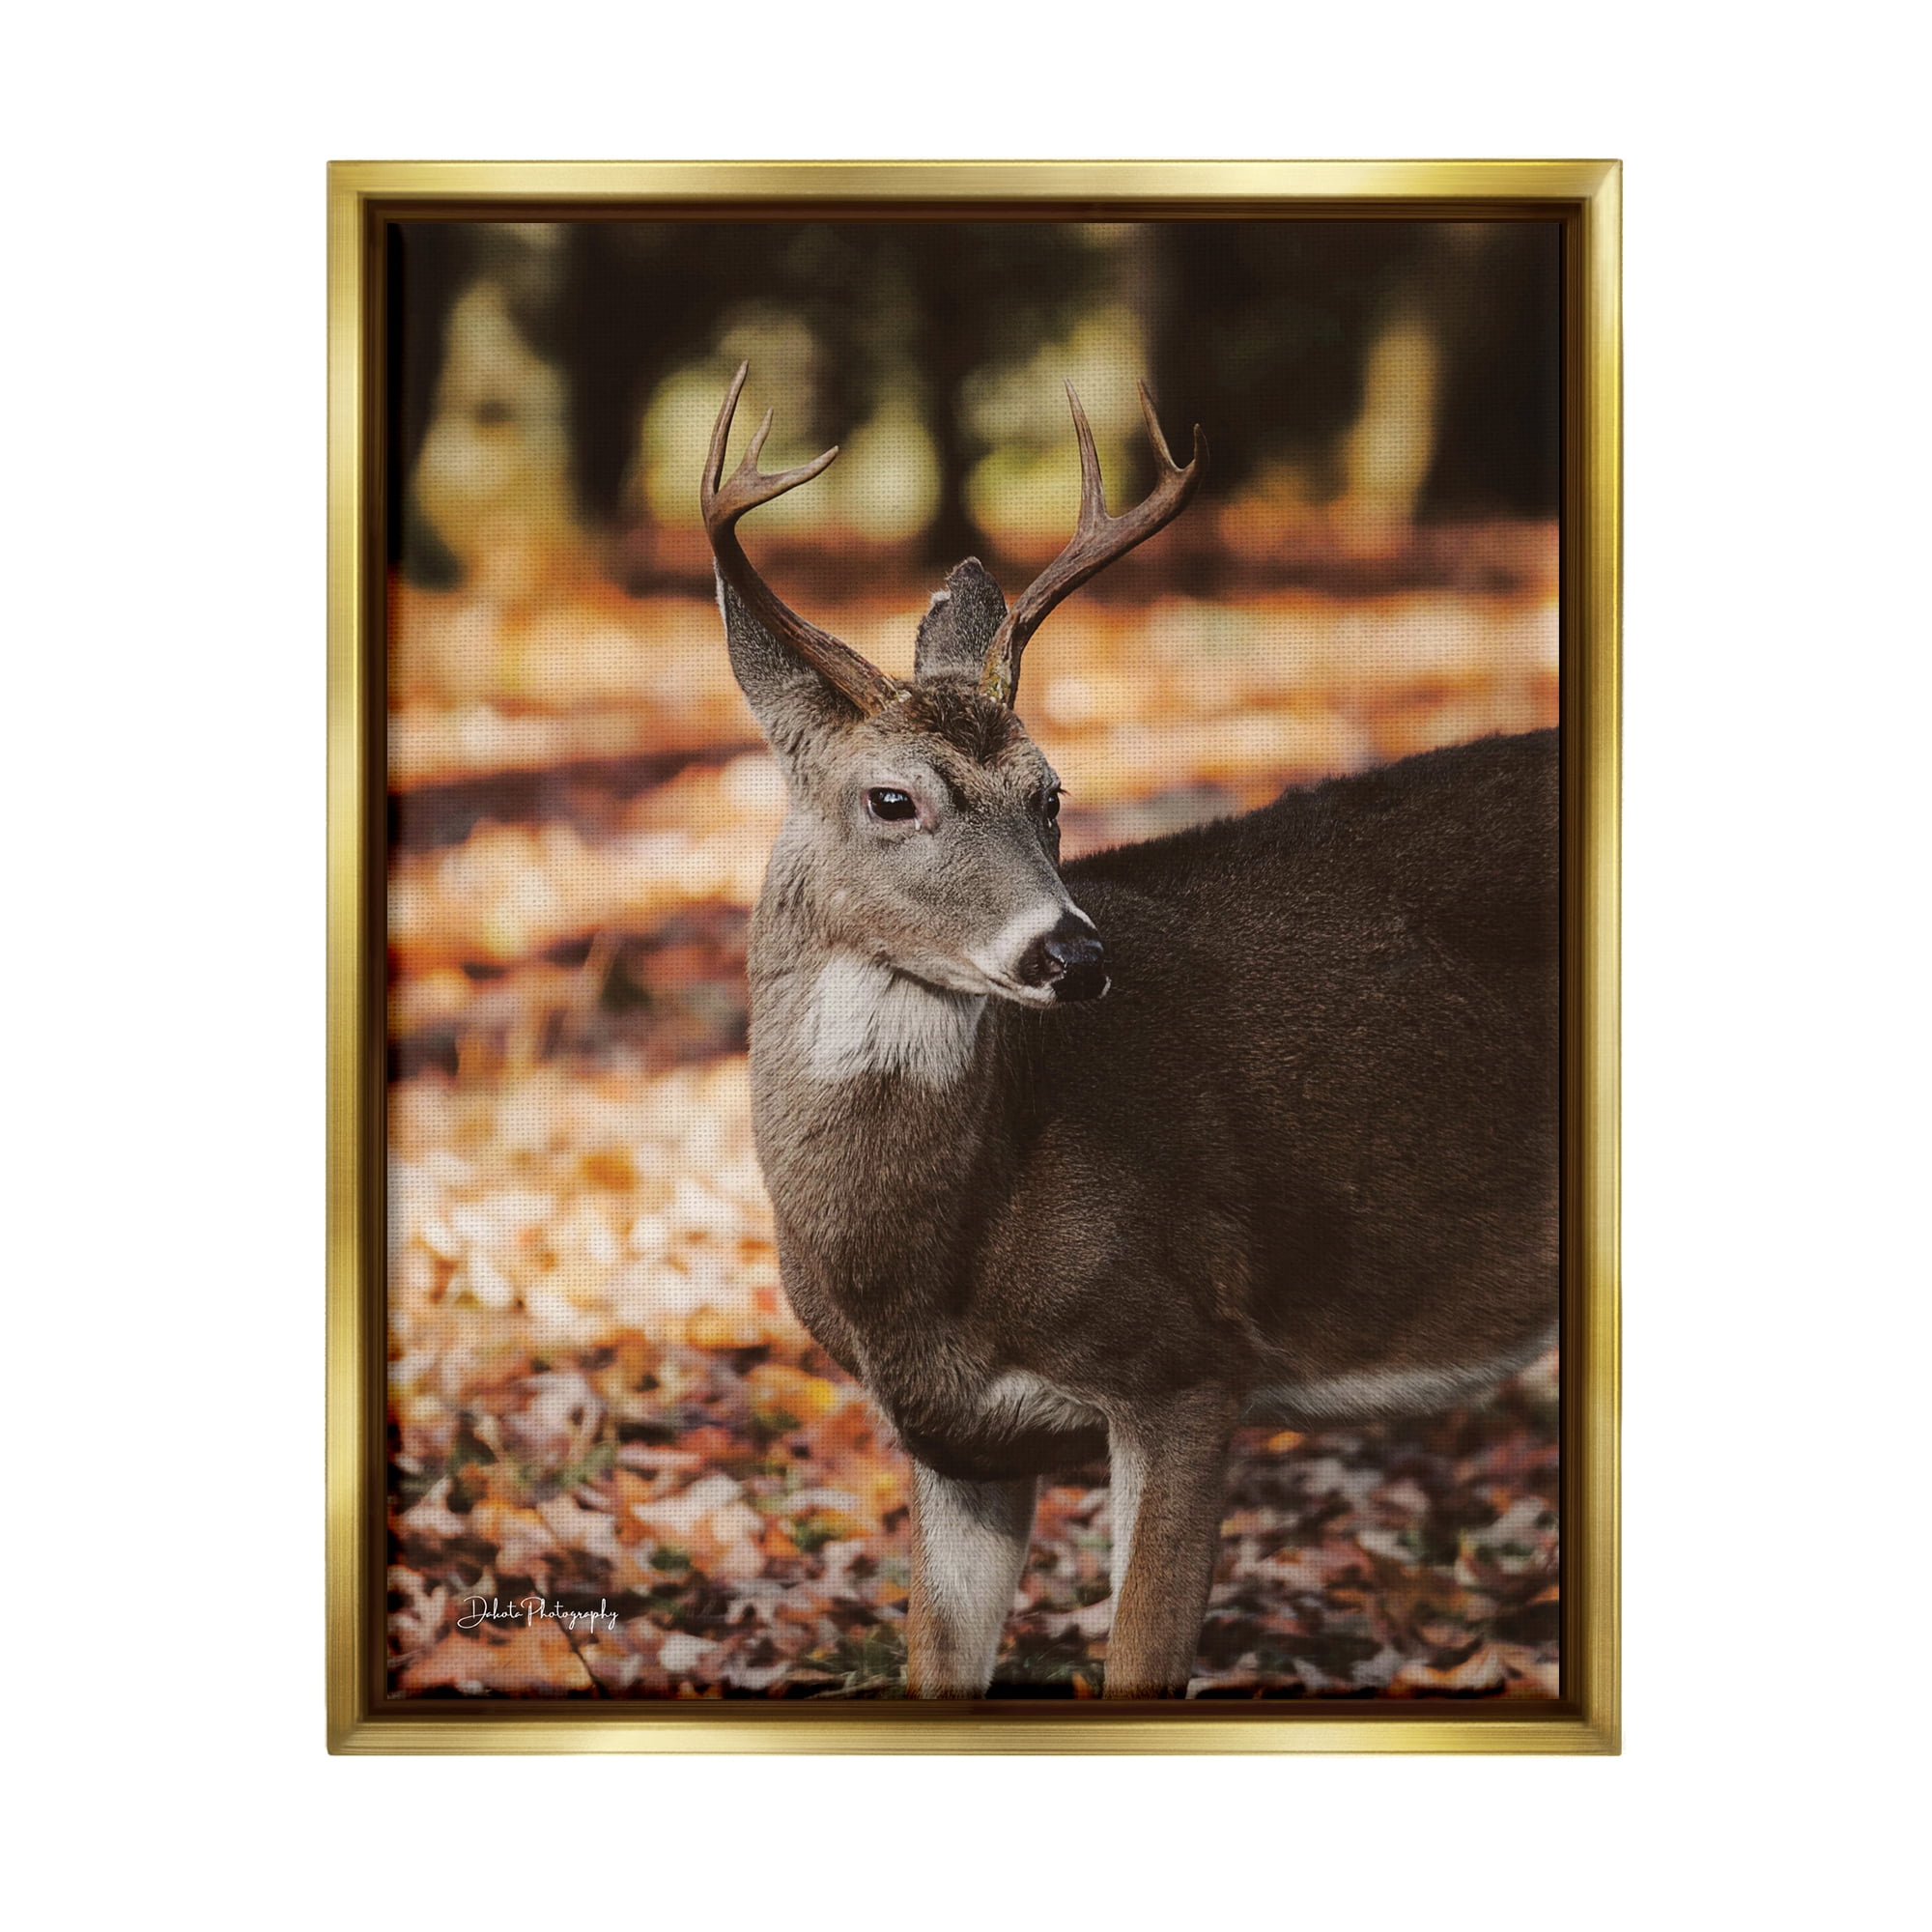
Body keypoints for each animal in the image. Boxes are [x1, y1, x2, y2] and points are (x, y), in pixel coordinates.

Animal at [701, 362, 1559, 1699]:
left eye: (1050, 794)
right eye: (892, 797)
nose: (1075, 955)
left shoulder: (1189, 1357)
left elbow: (1139, 1658)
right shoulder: (954, 1442)